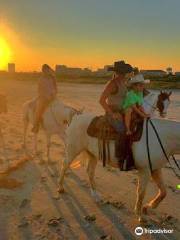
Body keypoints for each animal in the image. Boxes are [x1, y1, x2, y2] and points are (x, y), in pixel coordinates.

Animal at [58, 91, 174, 222]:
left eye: (169, 102)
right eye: (161, 102)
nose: (164, 114)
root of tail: (76, 117)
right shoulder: (145, 169)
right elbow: (142, 192)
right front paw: (141, 214)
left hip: (92, 153)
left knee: (89, 171)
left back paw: (96, 196)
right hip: (72, 149)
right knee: (64, 165)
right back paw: (60, 188)